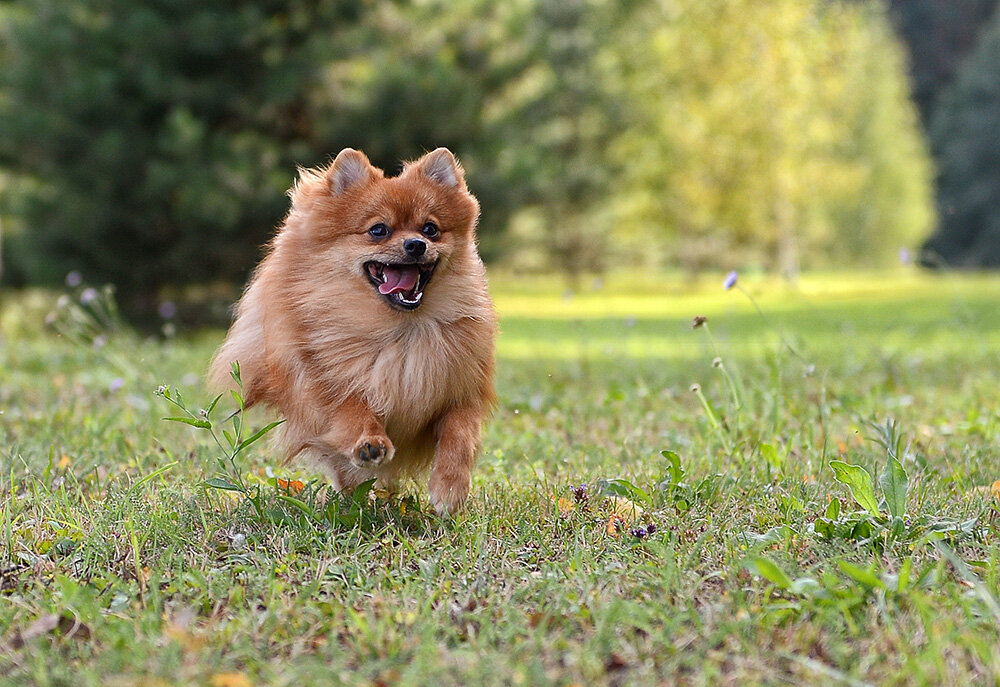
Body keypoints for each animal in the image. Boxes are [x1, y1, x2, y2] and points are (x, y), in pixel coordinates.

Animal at [208, 150, 496, 516]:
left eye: (431, 229)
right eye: (378, 230)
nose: (416, 244)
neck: (401, 332)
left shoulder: (461, 390)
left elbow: (459, 437)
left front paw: (450, 489)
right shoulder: (326, 384)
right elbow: (352, 411)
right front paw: (368, 443)